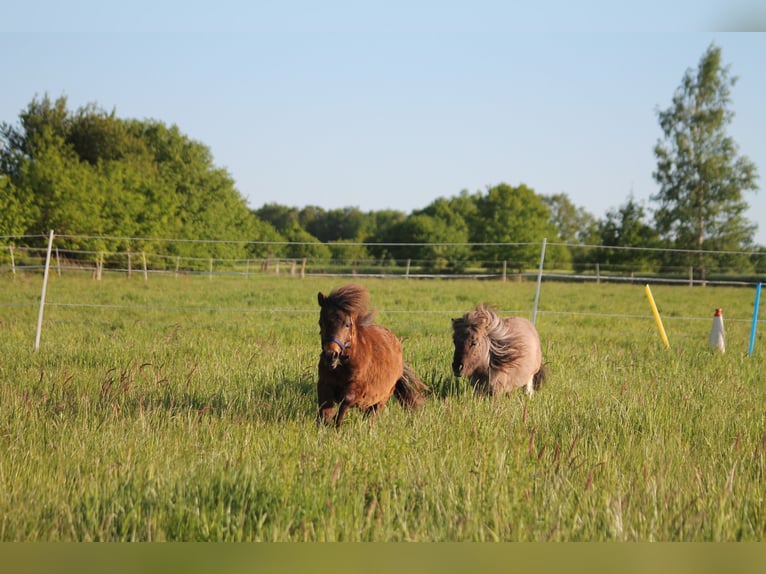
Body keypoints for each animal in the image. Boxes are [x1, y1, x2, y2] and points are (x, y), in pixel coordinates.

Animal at [316, 284, 428, 428]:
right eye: (321, 322)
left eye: (347, 324)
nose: (331, 355)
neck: (343, 367)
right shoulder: (324, 386)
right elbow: (324, 412)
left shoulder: (358, 390)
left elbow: (346, 402)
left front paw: (337, 425)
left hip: (382, 398)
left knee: (371, 415)